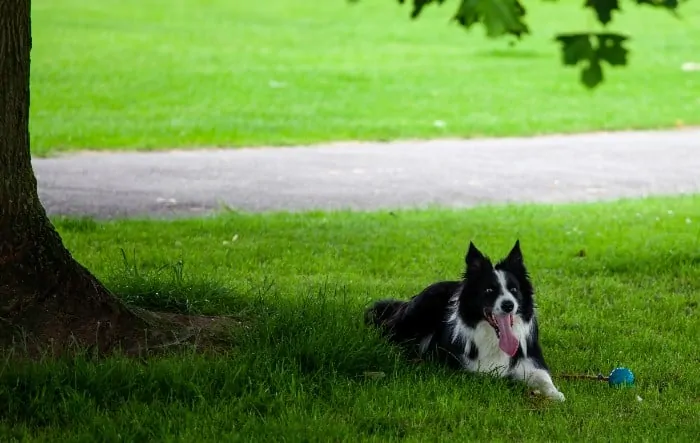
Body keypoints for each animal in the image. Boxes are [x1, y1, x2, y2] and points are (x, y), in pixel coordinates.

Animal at [364, 241, 568, 404]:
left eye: (514, 289)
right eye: (489, 290)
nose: (508, 305)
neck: (494, 339)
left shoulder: (532, 360)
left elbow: (544, 378)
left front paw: (555, 394)